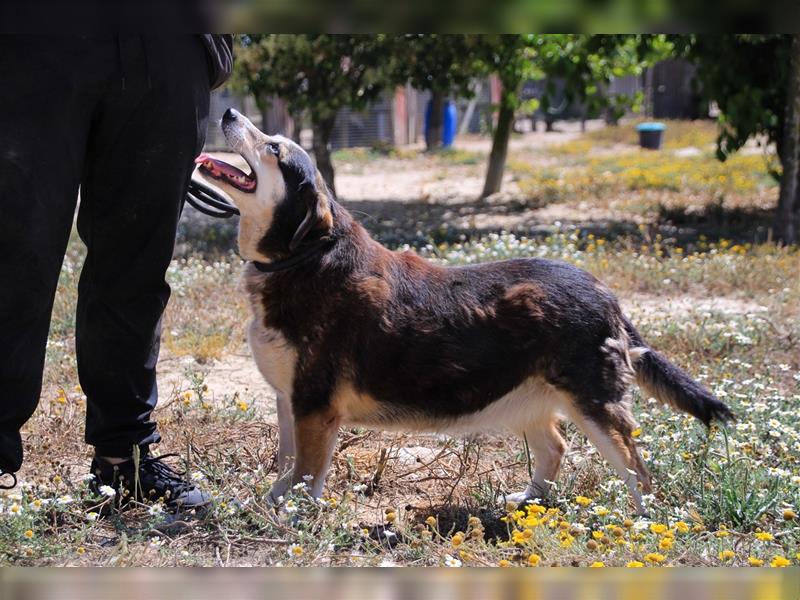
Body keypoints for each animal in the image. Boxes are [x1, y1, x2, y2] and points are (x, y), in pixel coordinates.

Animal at [197, 109, 736, 516]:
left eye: (274, 149)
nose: (227, 111)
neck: (302, 255)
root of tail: (604, 292)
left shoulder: (314, 405)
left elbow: (306, 474)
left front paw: (293, 519)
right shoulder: (290, 400)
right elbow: (286, 467)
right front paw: (273, 503)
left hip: (596, 407)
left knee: (639, 473)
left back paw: (644, 524)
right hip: (530, 400)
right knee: (555, 447)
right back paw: (528, 501)